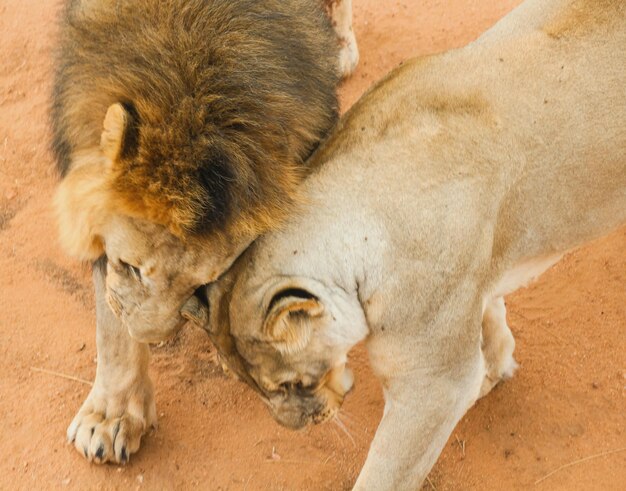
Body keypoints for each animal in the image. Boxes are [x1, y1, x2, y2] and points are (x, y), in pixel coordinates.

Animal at [200, 1, 624, 490]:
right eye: (253, 387)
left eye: (293, 386)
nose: (295, 428)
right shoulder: (476, 277)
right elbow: (491, 314)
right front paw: (497, 368)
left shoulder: (433, 386)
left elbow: (386, 473)